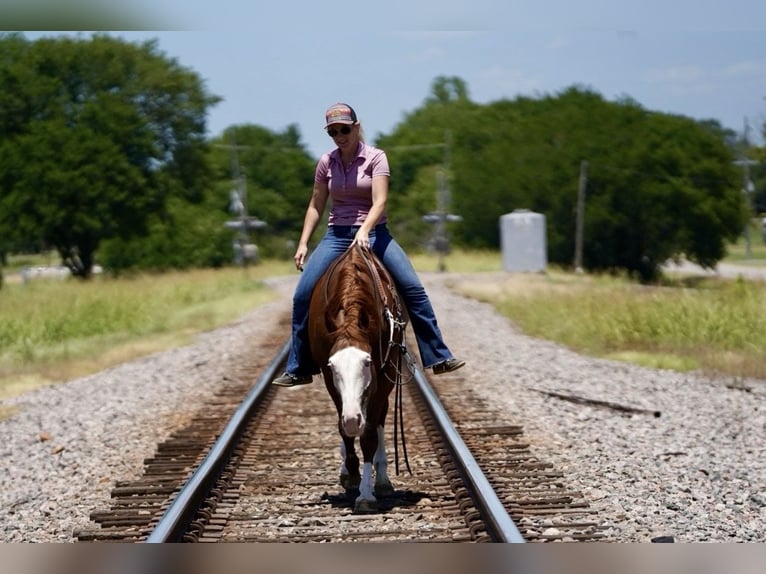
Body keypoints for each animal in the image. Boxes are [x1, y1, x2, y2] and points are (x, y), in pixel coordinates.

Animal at [308, 245, 412, 516]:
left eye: (366, 362)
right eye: (333, 366)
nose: (353, 419)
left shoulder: (382, 379)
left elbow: (369, 436)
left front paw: (366, 495)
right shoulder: (329, 380)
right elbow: (343, 428)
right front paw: (352, 473)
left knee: (379, 421)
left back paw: (382, 481)